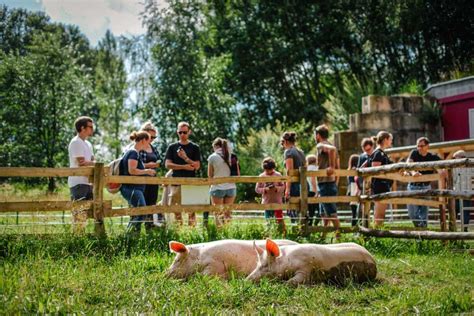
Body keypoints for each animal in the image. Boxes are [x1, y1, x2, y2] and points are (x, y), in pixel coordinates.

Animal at [246, 238, 376, 286]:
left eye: (265, 265)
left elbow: (297, 279)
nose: (246, 280)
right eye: (257, 264)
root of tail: (372, 258)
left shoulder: (306, 268)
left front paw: (285, 283)